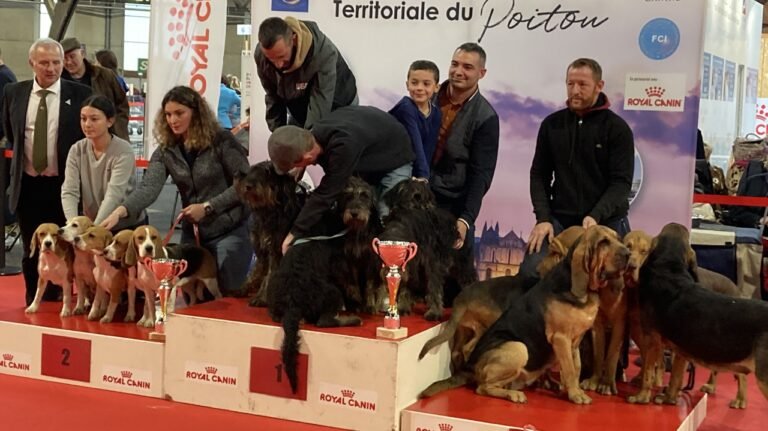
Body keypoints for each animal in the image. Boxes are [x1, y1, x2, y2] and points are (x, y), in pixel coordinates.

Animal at [234, 161, 306, 308]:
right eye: (252, 170)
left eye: (268, 172)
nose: (247, 185)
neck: (267, 212)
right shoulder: (261, 251)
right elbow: (256, 270)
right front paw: (245, 288)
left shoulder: (276, 251)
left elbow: (270, 275)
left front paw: (262, 298)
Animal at [420, 228, 632, 406]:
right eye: (603, 242)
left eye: (618, 238)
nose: (629, 254)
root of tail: (462, 296)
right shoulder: (561, 339)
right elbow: (571, 370)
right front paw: (576, 395)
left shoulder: (575, 342)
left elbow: (576, 367)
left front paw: (571, 389)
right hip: (518, 347)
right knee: (482, 386)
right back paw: (514, 394)